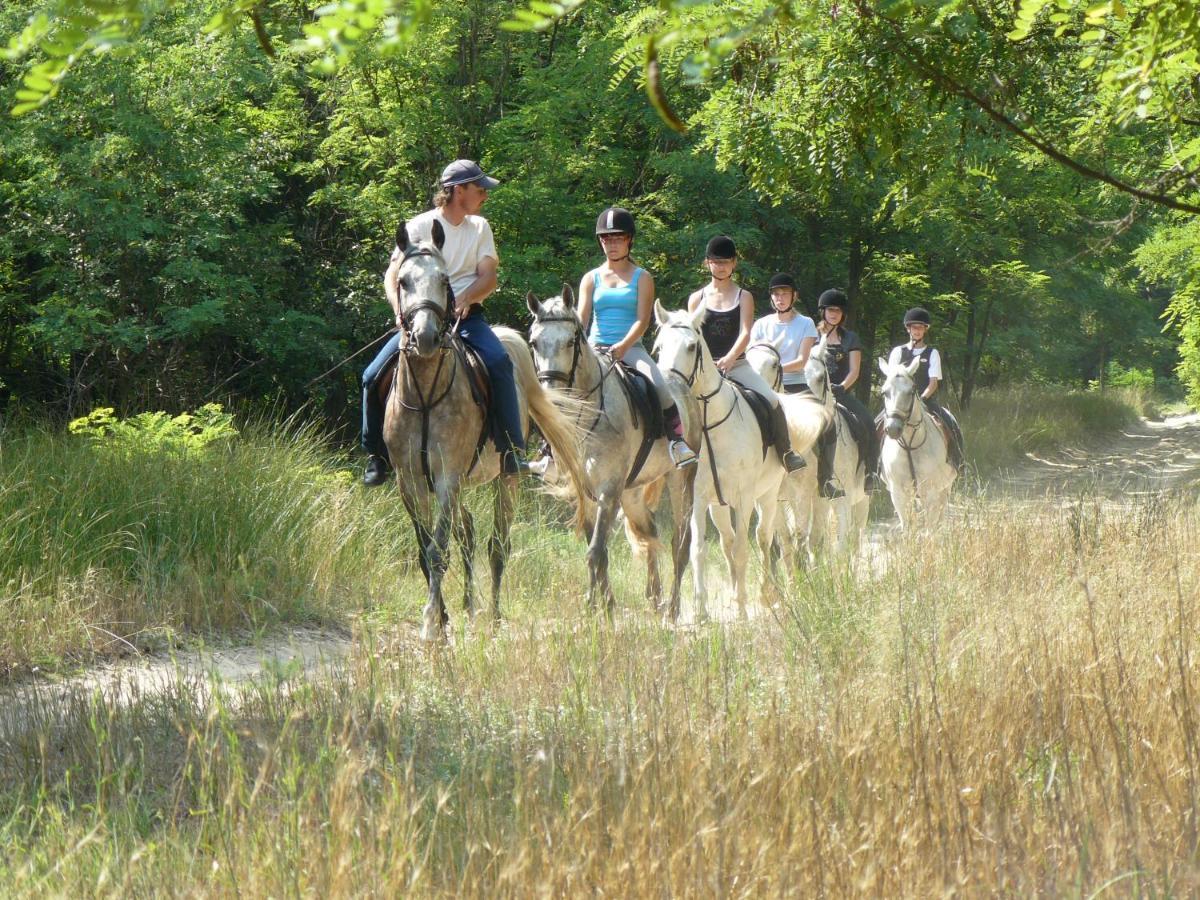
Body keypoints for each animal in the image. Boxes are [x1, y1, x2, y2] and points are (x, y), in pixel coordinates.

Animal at [381, 222, 588, 643]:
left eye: (444, 280)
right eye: (404, 281)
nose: (425, 337)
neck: (425, 393)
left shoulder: (447, 478)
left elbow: (438, 550)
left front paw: (430, 624)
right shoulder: (410, 481)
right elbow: (426, 548)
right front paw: (441, 619)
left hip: (505, 479)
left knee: (497, 545)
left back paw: (492, 618)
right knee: (470, 534)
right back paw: (469, 609)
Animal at [525, 286, 696, 619]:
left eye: (570, 341)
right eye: (534, 343)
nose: (553, 401)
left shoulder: (608, 491)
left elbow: (594, 552)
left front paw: (593, 609)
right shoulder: (591, 492)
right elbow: (598, 551)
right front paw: (605, 606)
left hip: (681, 481)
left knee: (679, 544)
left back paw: (672, 610)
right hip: (631, 493)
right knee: (649, 532)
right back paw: (655, 599)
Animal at [657, 303, 787, 619]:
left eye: (691, 346)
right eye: (660, 346)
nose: (668, 385)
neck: (709, 423)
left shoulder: (743, 496)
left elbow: (743, 547)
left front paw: (741, 609)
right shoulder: (698, 497)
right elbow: (698, 550)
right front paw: (701, 610)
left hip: (767, 495)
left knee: (763, 537)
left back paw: (765, 594)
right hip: (718, 506)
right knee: (727, 541)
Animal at [744, 340, 830, 566]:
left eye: (774, 364)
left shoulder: (802, 494)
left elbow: (800, 535)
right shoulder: (770, 497)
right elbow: (781, 539)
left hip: (817, 496)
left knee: (816, 535)